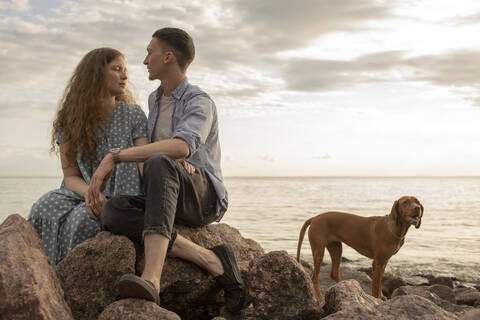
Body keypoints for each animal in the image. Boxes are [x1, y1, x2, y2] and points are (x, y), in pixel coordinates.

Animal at [296, 195, 424, 302]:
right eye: (406, 202)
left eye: (417, 202)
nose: (417, 208)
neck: (394, 228)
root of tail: (315, 218)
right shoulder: (377, 263)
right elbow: (375, 285)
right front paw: (376, 299)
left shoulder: (384, 261)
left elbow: (380, 282)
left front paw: (381, 297)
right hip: (319, 251)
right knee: (314, 278)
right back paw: (320, 297)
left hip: (336, 248)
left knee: (334, 273)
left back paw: (345, 288)